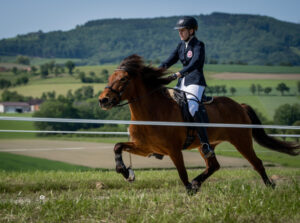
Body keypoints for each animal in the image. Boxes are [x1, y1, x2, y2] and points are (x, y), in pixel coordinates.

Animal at [98, 55, 298, 194]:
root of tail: (239, 105)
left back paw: (270, 186)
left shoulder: (173, 150)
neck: (150, 114)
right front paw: (126, 172)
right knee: (213, 165)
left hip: (242, 141)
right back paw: (196, 183)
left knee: (257, 163)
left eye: (123, 79)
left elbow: (182, 172)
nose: (103, 100)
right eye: (109, 78)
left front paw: (188, 190)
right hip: (206, 145)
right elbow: (117, 146)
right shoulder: (146, 147)